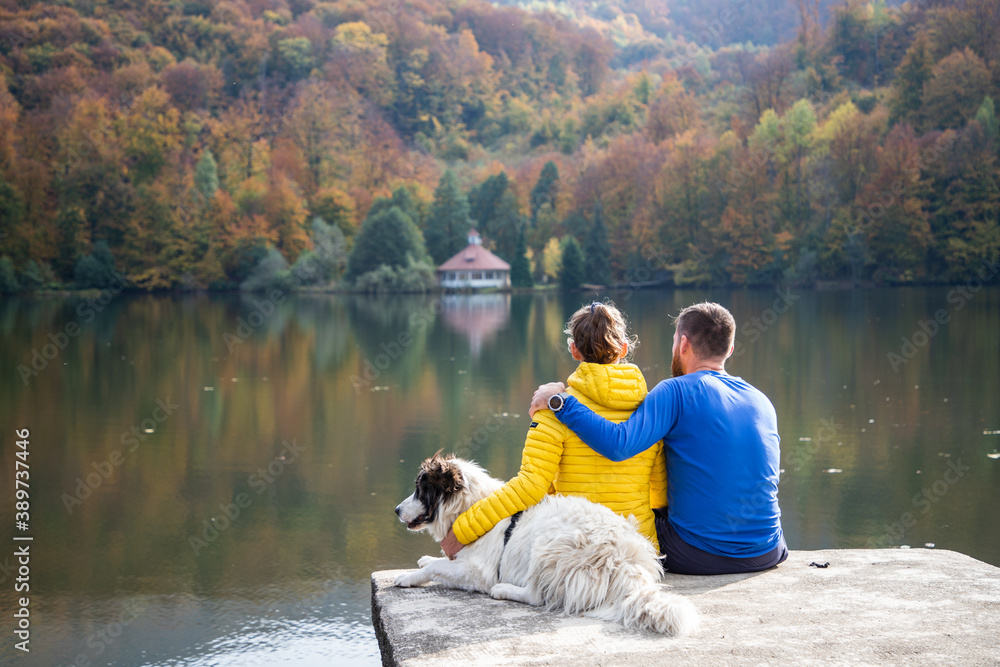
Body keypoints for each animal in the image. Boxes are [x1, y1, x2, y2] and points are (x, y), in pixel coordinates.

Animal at [390, 454, 696, 636]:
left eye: (419, 490)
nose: (395, 510)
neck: (469, 508)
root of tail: (625, 562)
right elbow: (439, 563)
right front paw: (425, 560)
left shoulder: (479, 572)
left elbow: (438, 568)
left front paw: (409, 576)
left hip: (547, 544)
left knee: (537, 595)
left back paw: (504, 590)